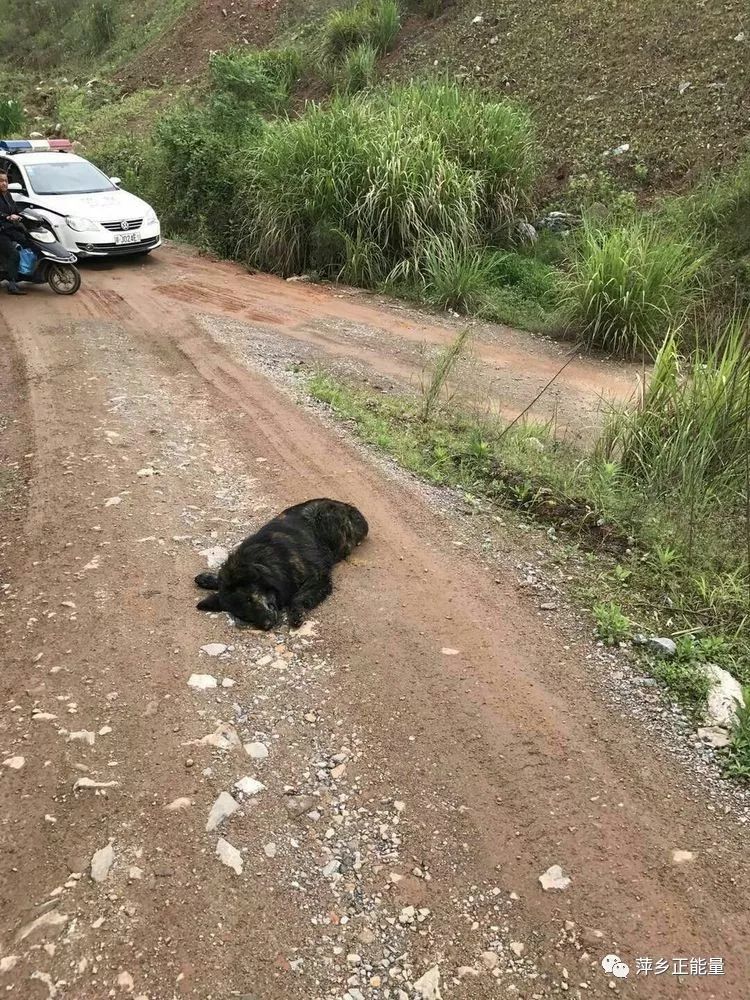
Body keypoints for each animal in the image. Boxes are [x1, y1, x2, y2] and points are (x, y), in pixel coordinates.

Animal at [195, 498, 368, 628]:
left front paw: (296, 613)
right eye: (243, 615)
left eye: (250, 599)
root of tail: (350, 508)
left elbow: (297, 597)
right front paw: (207, 578)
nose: (267, 625)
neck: (266, 564)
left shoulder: (318, 578)